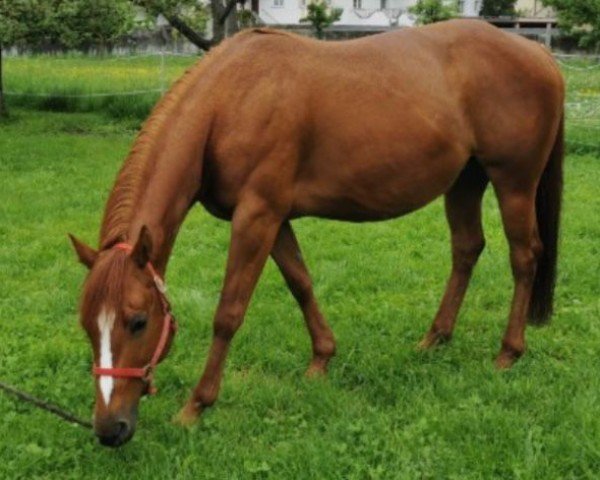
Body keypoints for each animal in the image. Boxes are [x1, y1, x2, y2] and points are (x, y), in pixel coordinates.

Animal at [69, 18, 564, 446]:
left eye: (138, 321)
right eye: (87, 325)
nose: (109, 429)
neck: (230, 100)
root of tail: (538, 53)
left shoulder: (257, 216)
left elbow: (229, 312)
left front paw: (196, 406)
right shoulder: (275, 219)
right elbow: (301, 283)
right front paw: (322, 359)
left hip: (514, 183)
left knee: (524, 257)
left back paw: (508, 353)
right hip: (465, 181)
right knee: (466, 249)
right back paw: (434, 339)